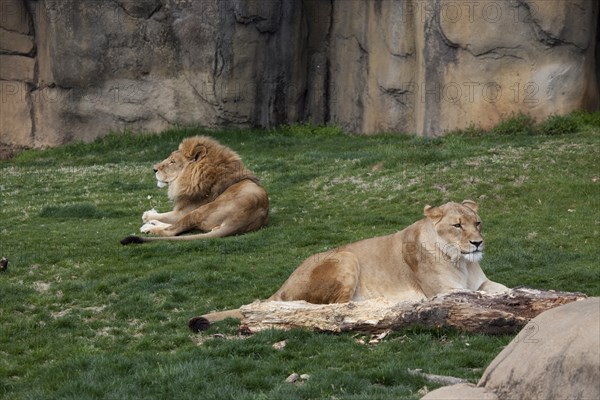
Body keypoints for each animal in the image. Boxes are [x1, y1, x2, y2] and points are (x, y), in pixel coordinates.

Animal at [120, 136, 268, 245]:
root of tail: (240, 220)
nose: (154, 169)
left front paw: (148, 216)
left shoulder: (184, 211)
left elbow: (168, 216)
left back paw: (148, 227)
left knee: (171, 231)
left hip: (199, 211)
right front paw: (150, 216)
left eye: (172, 162)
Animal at [188, 200, 506, 332]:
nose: (477, 243)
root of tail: (283, 286)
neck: (462, 262)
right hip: (346, 258)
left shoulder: (480, 282)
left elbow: (499, 289)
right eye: (457, 225)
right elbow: (478, 297)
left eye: (477, 223)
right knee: (335, 308)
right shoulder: (444, 292)